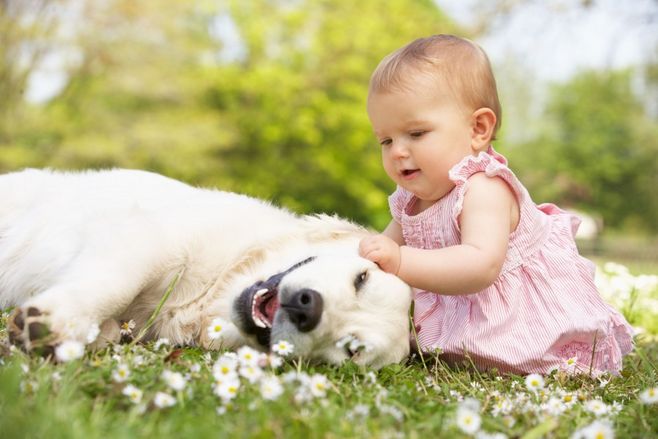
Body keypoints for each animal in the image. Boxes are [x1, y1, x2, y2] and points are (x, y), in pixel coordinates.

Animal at [0, 168, 410, 368]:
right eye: (362, 278)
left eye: (352, 350)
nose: (307, 308)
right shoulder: (150, 237)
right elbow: (115, 284)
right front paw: (55, 321)